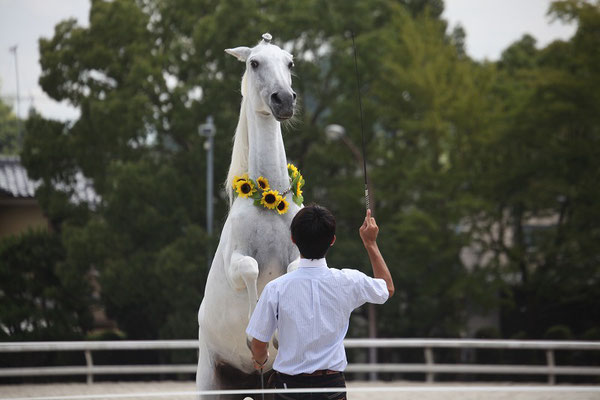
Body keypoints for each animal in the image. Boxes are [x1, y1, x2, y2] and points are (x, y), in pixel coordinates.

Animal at [196, 33, 300, 396]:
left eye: (289, 62)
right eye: (254, 63)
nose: (284, 99)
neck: (269, 203)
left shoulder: (299, 254)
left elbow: (292, 271)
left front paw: (279, 337)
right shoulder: (235, 264)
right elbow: (252, 268)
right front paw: (256, 337)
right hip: (209, 382)